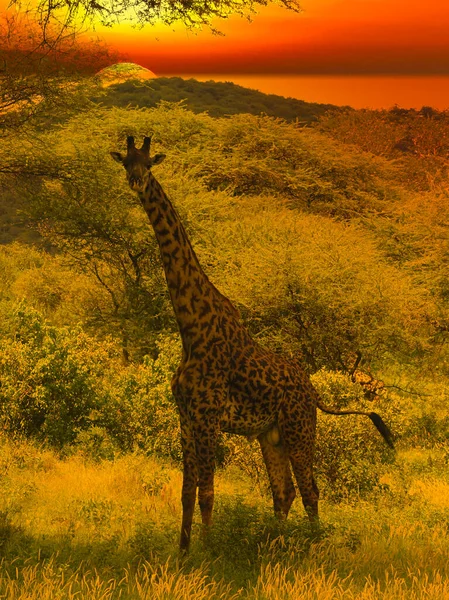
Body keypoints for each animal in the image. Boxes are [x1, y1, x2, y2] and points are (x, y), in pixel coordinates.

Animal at [109, 134, 392, 552]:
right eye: (126, 163)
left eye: (149, 164)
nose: (136, 182)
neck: (191, 328)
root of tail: (313, 391)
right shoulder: (186, 417)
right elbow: (186, 492)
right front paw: (182, 552)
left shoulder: (208, 418)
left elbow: (207, 492)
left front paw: (208, 552)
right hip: (269, 435)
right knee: (284, 491)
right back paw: (274, 541)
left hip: (299, 428)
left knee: (310, 490)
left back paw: (312, 544)